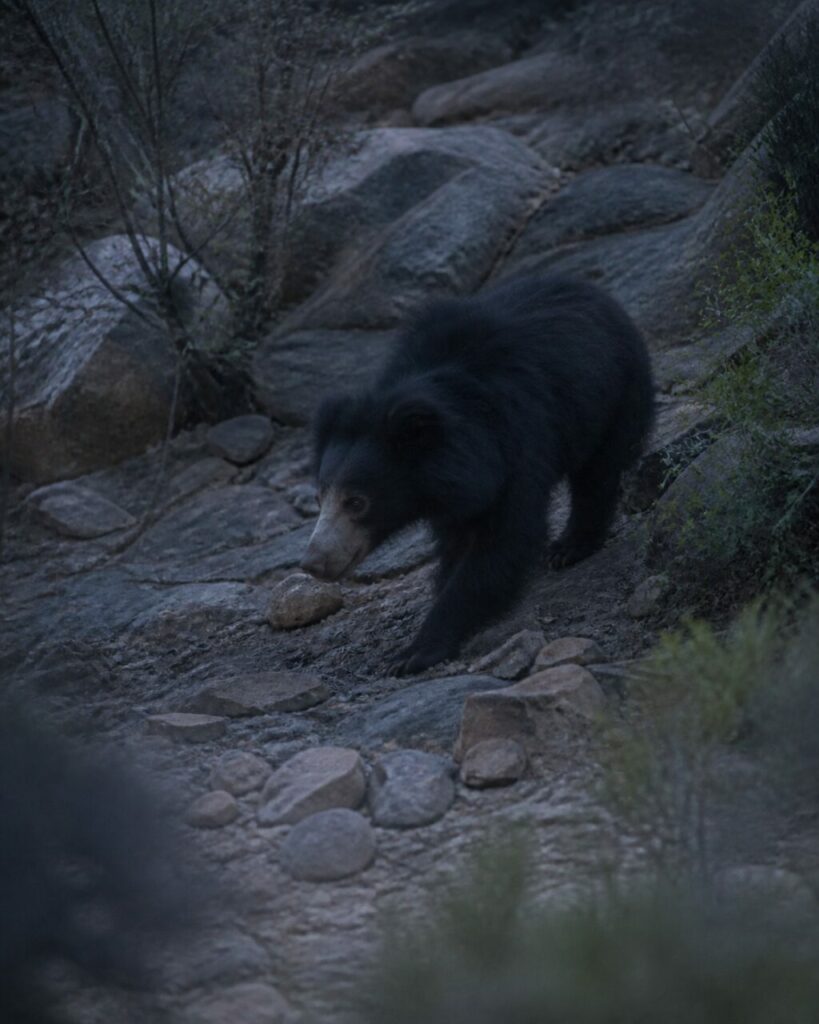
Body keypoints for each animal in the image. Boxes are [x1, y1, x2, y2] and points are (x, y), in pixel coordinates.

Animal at [301, 273, 655, 675]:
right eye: (319, 497)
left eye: (356, 502)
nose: (313, 563)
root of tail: (596, 292)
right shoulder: (453, 489)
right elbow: (458, 540)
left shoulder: (518, 443)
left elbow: (505, 540)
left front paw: (413, 652)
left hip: (614, 393)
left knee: (598, 473)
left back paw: (569, 548)